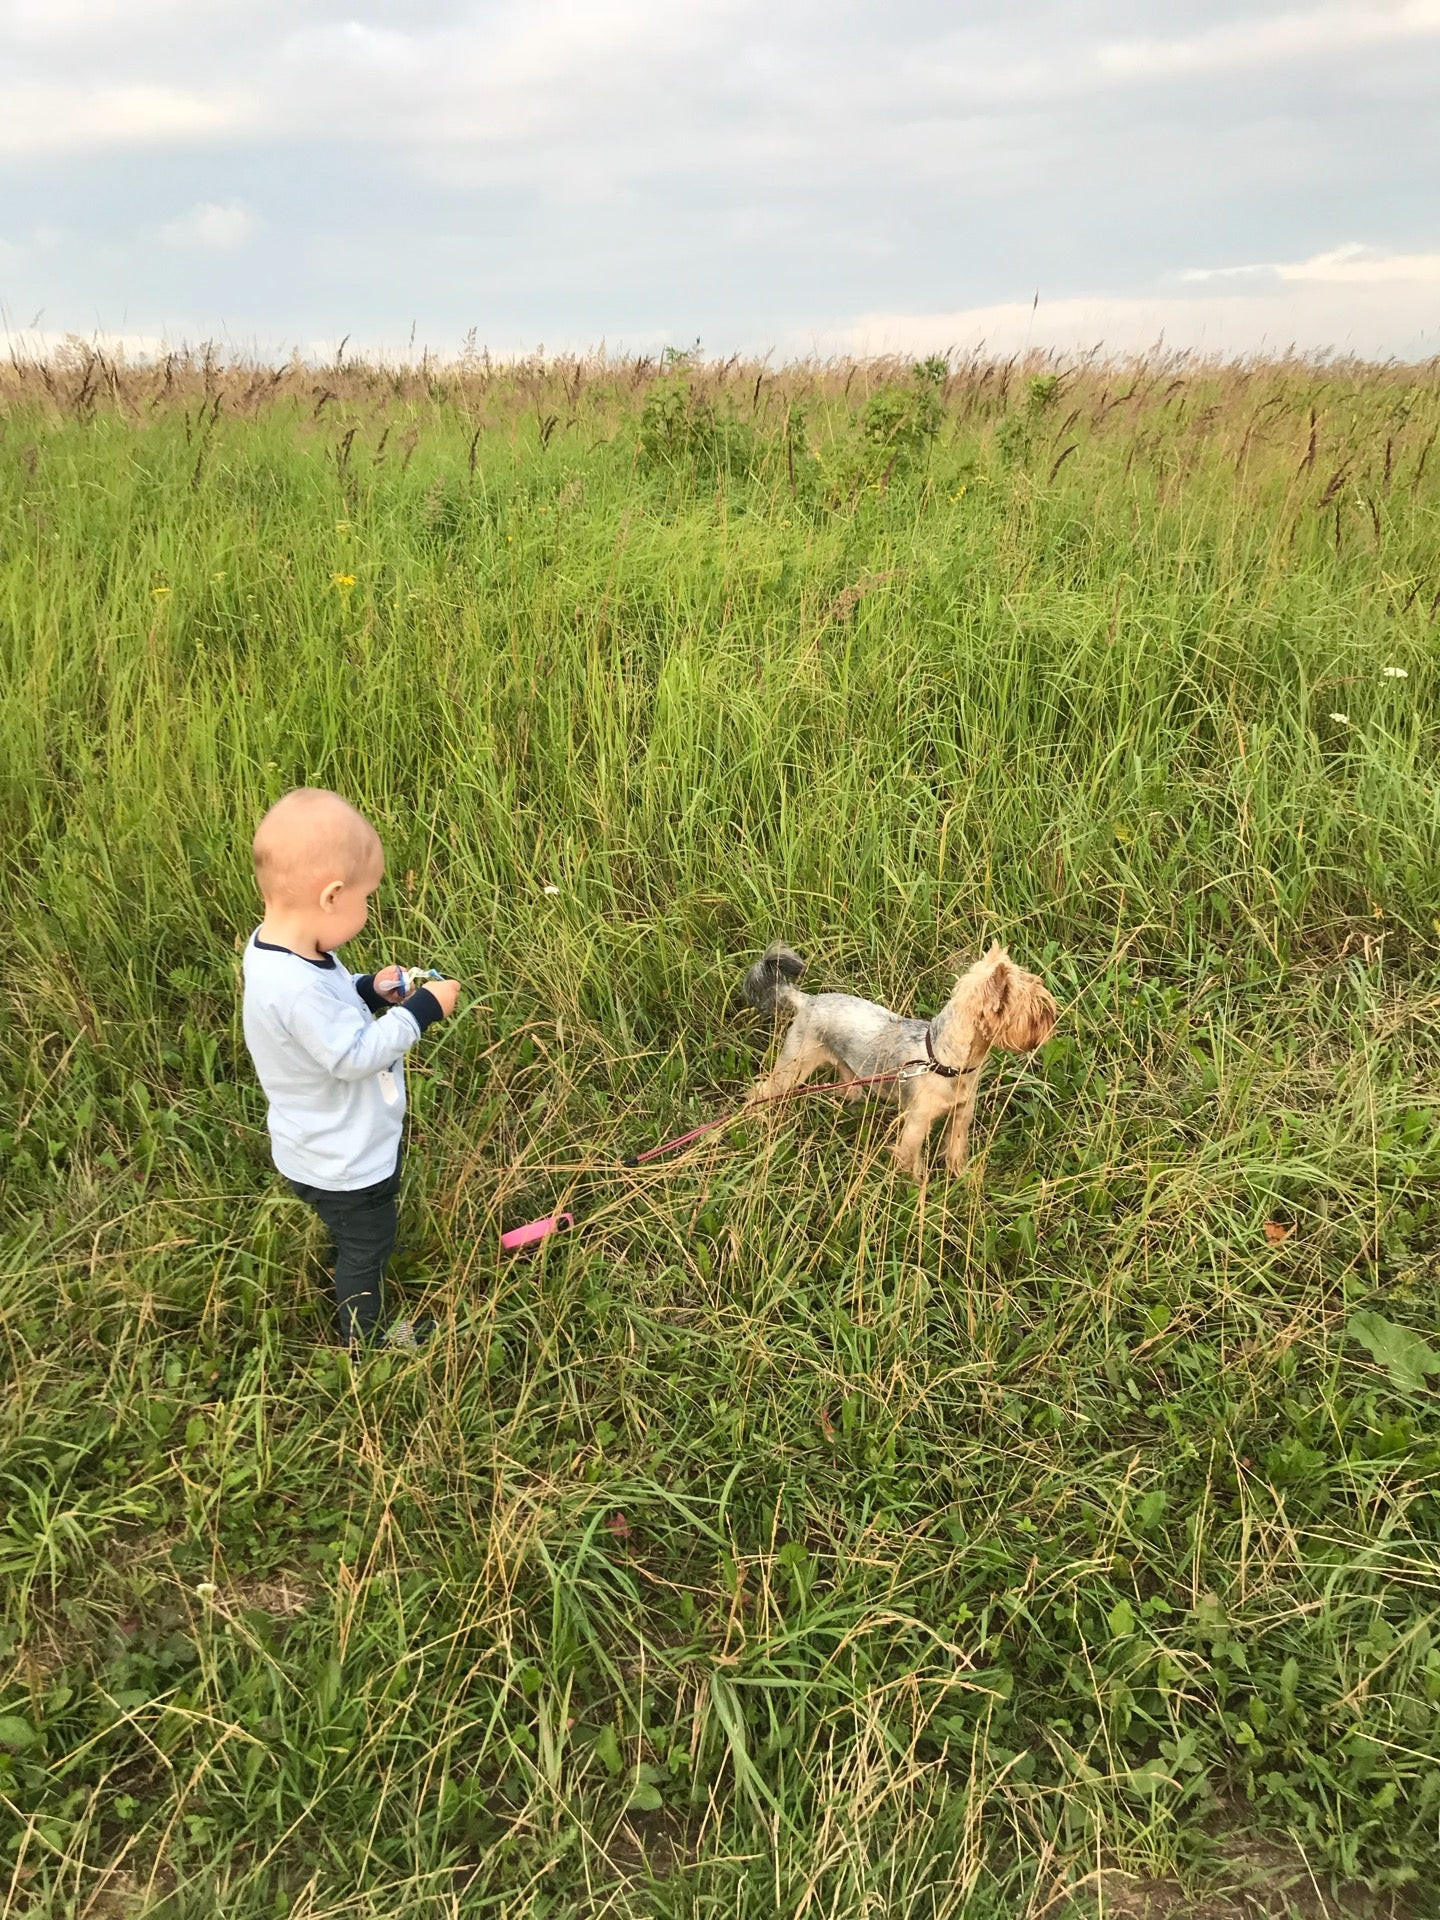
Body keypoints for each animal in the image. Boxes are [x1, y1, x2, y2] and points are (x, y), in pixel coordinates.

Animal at [744, 940, 1059, 1175]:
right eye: (1036, 1011)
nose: (1053, 1019)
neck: (945, 1062)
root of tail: (807, 1000)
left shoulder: (961, 1115)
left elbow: (955, 1150)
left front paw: (963, 1180)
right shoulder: (917, 1123)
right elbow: (912, 1164)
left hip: (848, 1070)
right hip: (793, 1065)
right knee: (761, 1090)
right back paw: (754, 1118)